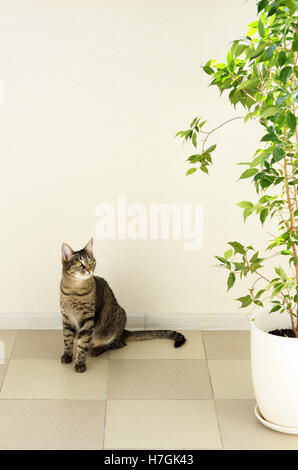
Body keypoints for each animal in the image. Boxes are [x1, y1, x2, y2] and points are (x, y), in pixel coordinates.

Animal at [59, 241, 186, 372]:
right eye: (79, 264)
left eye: (91, 261)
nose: (89, 270)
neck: (73, 290)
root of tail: (123, 332)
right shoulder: (66, 318)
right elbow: (67, 339)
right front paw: (67, 355)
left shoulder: (87, 320)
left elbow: (82, 344)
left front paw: (80, 363)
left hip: (118, 318)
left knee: (117, 344)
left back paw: (97, 349)